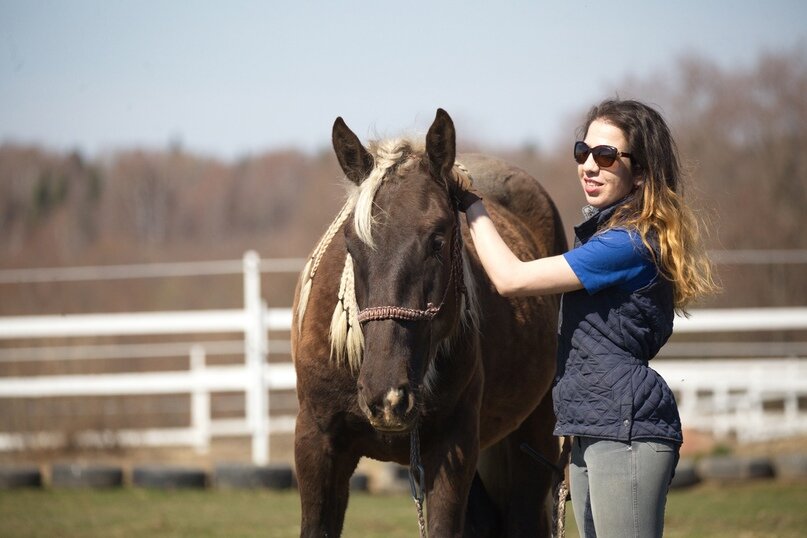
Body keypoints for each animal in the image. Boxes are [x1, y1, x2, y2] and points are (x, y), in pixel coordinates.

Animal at [292, 110, 568, 536]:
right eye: (351, 244)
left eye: (439, 238)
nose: (387, 396)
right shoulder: (316, 444)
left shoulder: (452, 449)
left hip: (534, 440)